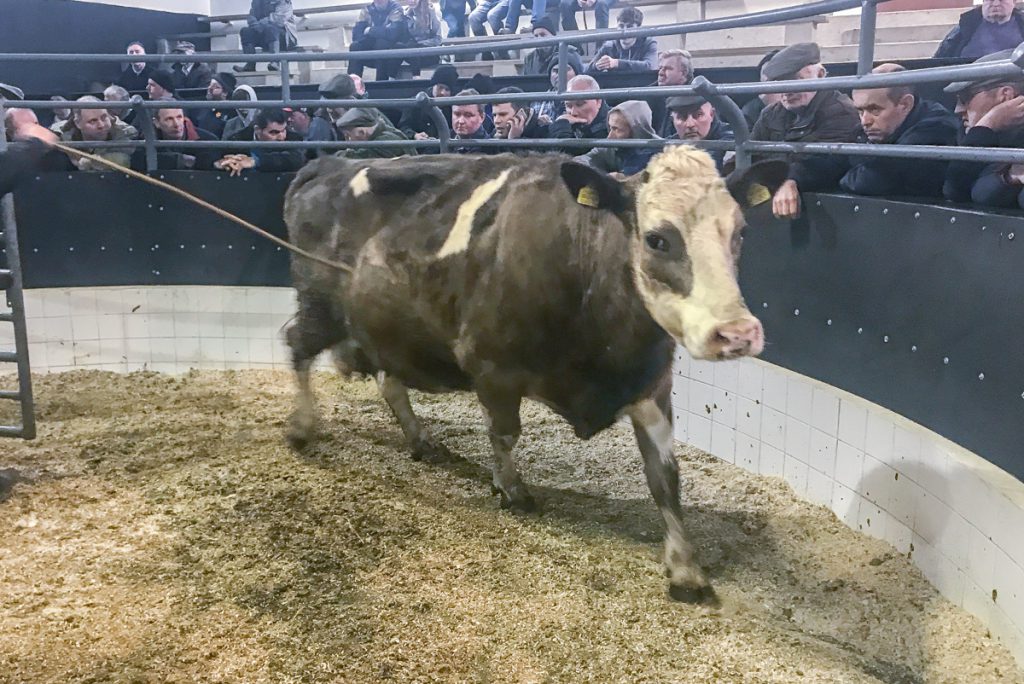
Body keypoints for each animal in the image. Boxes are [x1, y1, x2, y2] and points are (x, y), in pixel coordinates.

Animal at [282, 147, 787, 603]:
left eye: (739, 231)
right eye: (658, 239)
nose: (737, 333)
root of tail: (329, 163)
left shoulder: (651, 384)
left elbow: (665, 475)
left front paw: (685, 567)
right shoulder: (492, 366)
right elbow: (504, 434)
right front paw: (511, 490)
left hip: (385, 328)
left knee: (389, 381)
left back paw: (420, 439)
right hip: (320, 305)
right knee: (298, 348)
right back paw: (301, 428)